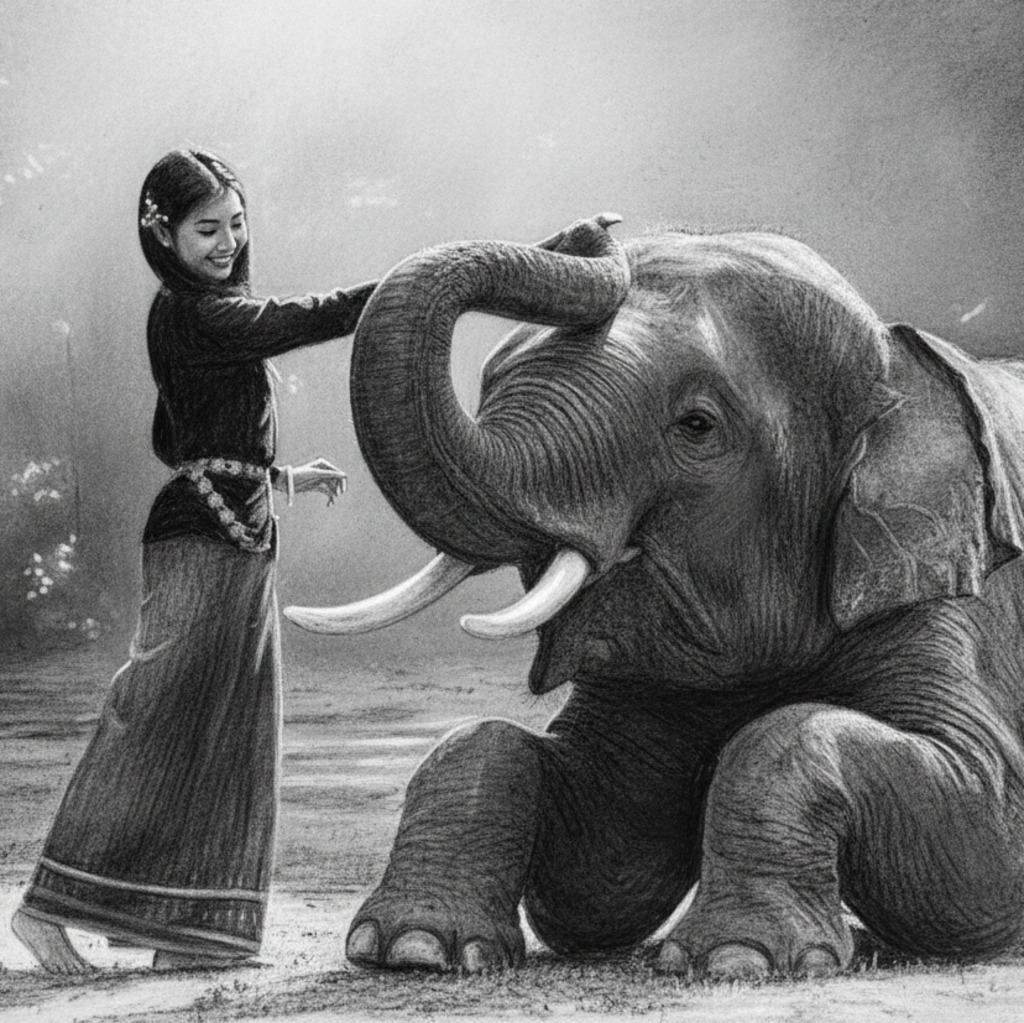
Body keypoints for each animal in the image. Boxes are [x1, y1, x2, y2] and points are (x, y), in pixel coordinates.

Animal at [285, 214, 1024, 980]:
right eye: (488, 385)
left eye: (697, 425)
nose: (594, 226)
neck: (895, 359)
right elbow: (601, 864)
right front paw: (414, 949)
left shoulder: (951, 589)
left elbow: (988, 846)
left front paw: (735, 960)